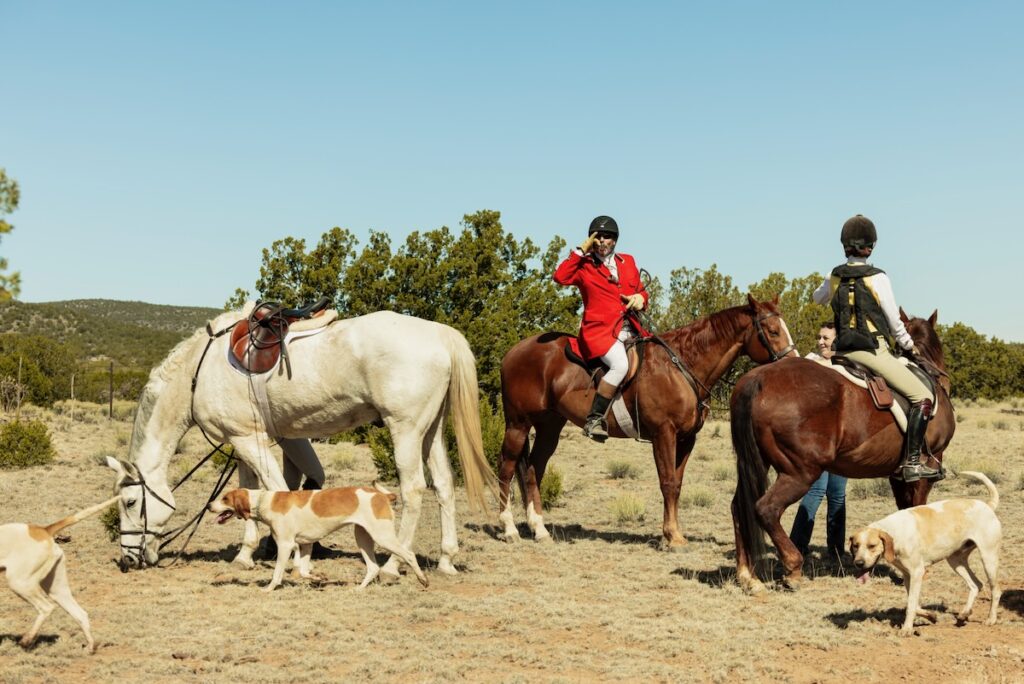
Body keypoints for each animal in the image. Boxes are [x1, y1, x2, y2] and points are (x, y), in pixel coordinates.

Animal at [105, 305, 497, 577]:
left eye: (129, 502)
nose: (128, 559)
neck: (198, 373)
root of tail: (440, 334)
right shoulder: (249, 440)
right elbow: (249, 491)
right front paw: (247, 554)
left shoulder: (247, 440)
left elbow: (276, 490)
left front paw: (288, 556)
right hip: (432, 431)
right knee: (444, 486)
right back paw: (446, 559)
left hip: (406, 430)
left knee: (414, 490)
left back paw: (392, 564)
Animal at [499, 292, 794, 544]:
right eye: (773, 331)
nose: (792, 361)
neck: (681, 365)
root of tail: (514, 350)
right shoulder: (664, 435)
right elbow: (667, 482)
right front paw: (672, 536)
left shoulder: (686, 439)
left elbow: (677, 484)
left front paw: (672, 533)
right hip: (518, 425)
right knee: (507, 468)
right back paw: (509, 529)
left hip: (549, 427)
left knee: (534, 470)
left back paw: (539, 529)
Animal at [729, 309, 950, 593]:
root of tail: (758, 378)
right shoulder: (923, 472)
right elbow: (916, 507)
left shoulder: (897, 474)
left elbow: (904, 510)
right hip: (800, 473)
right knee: (766, 509)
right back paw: (792, 568)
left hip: (758, 464)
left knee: (740, 507)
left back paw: (747, 575)